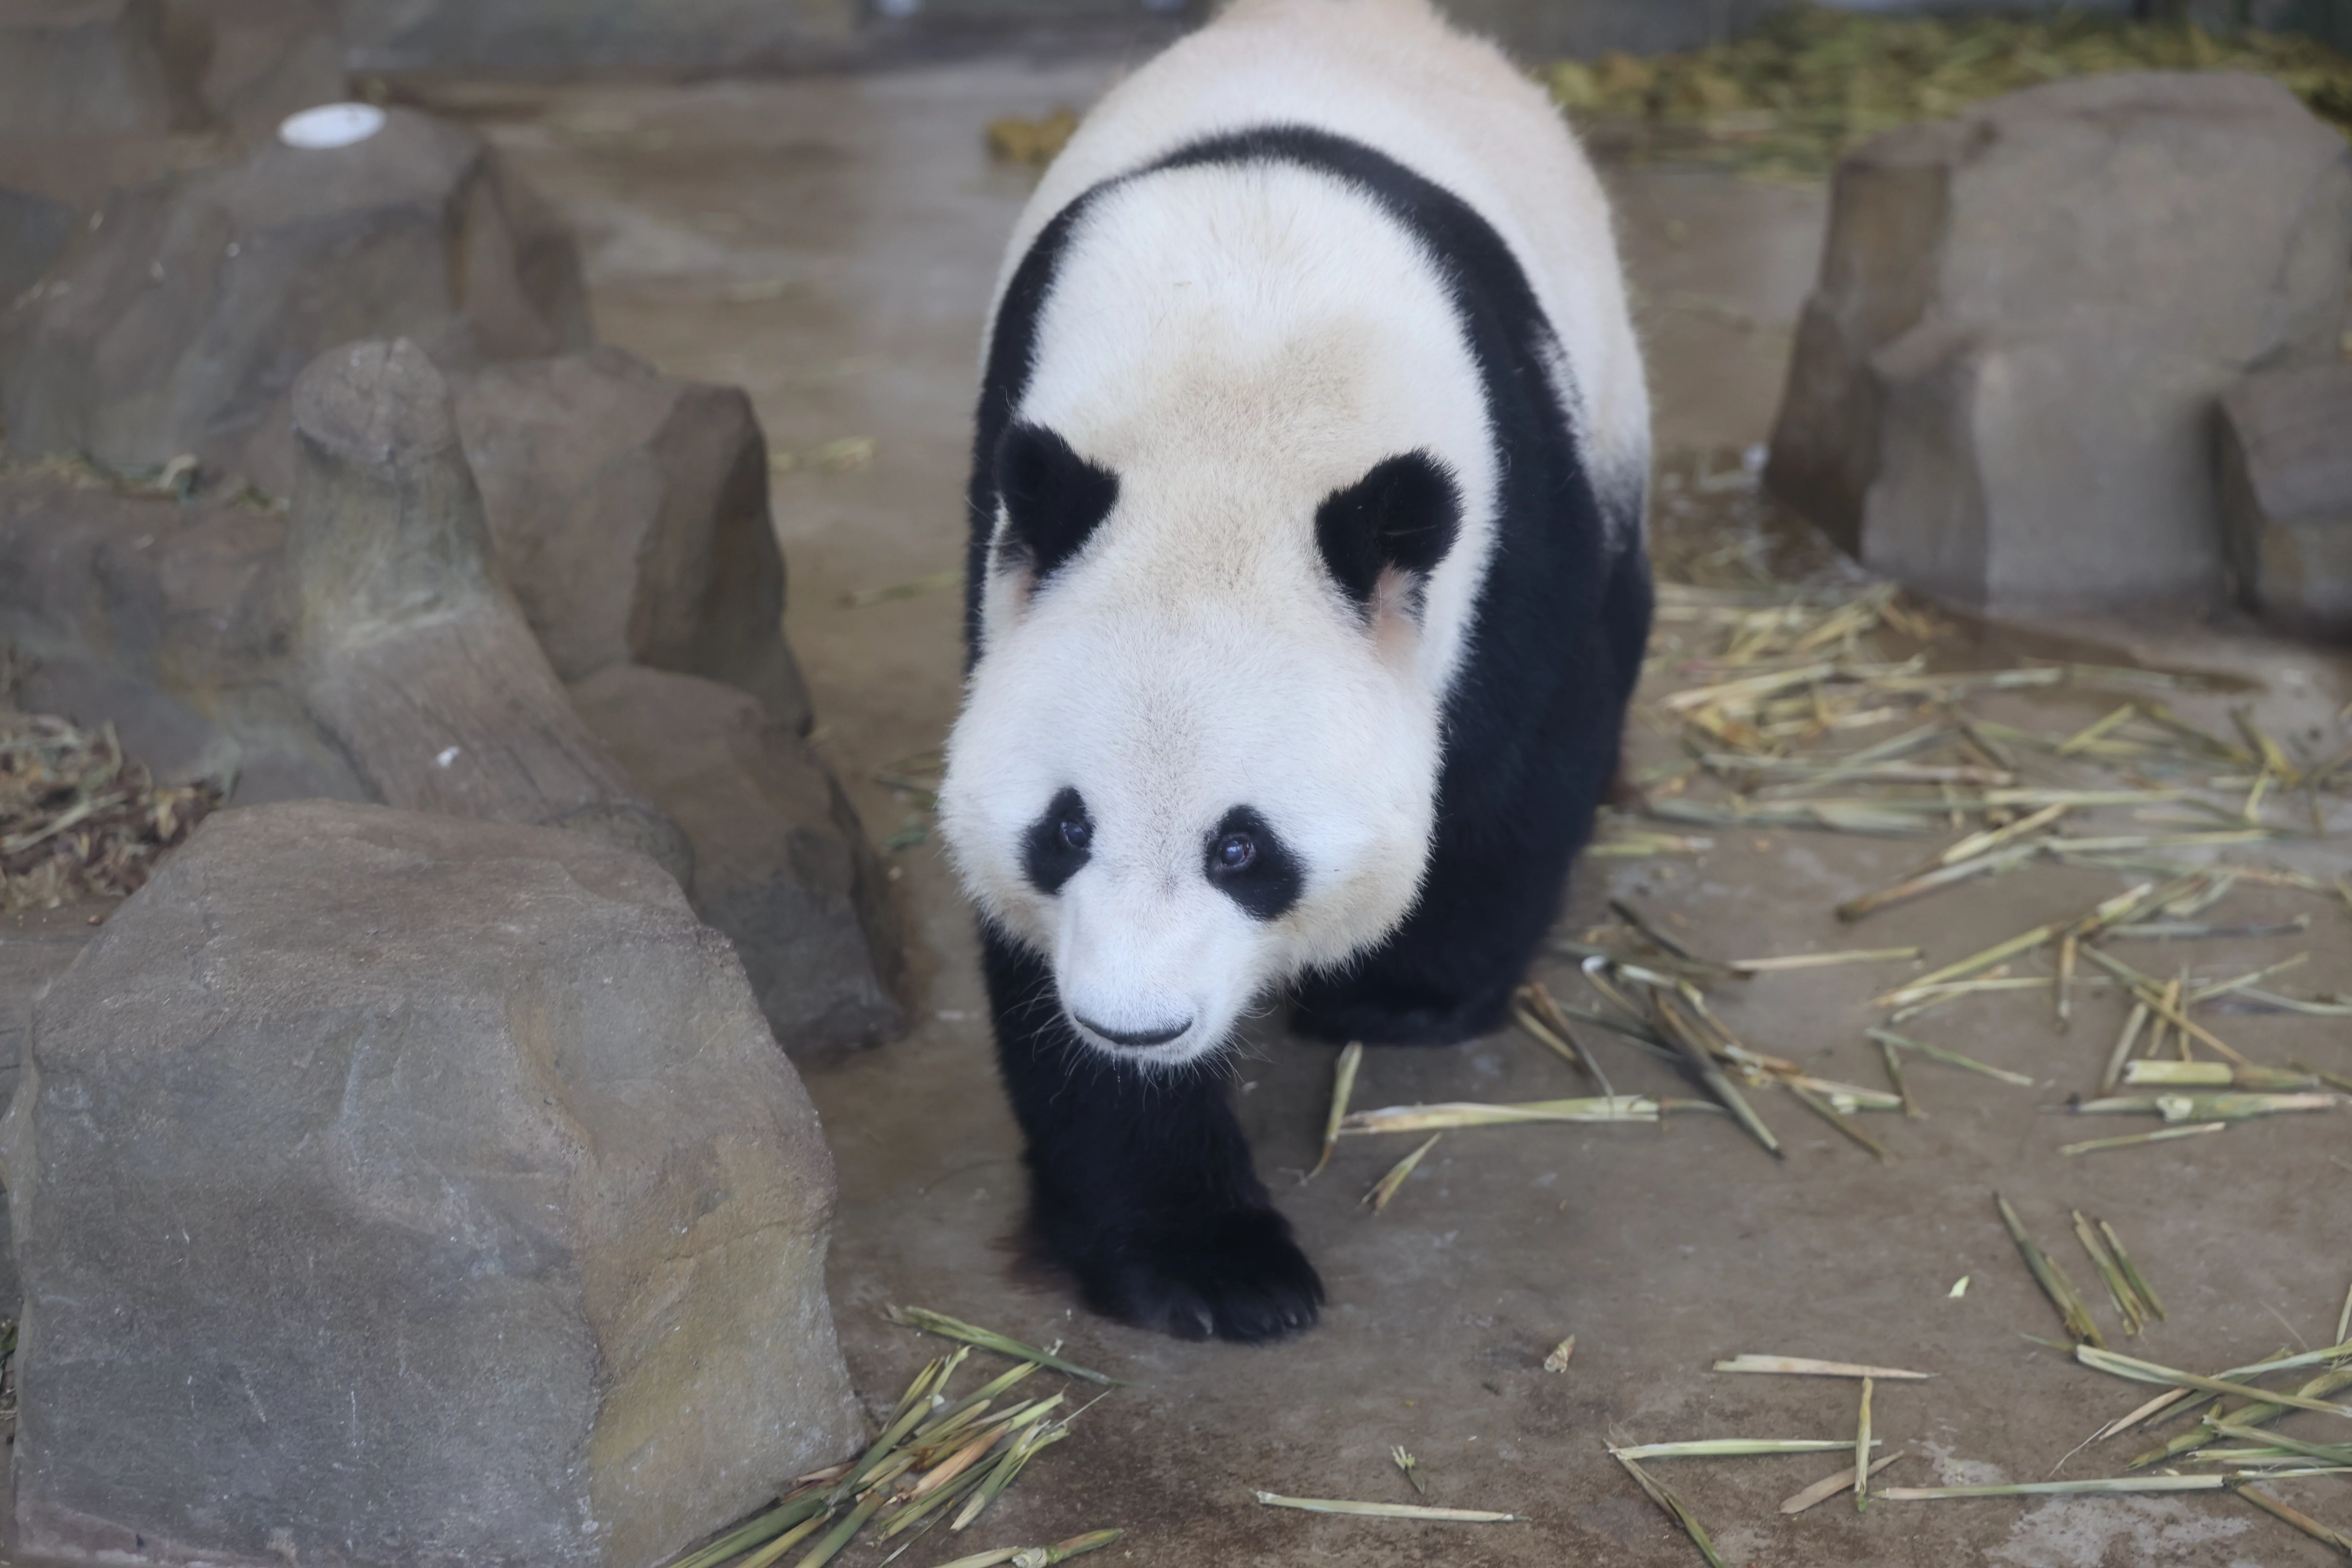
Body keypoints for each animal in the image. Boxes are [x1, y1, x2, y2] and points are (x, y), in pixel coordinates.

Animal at [935, 0, 1651, 1343]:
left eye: (1242, 846)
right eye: (1063, 828)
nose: (1137, 1021)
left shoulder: (1511, 508)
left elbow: (1526, 756)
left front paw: (1406, 995)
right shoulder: (1008, 548)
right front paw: (1209, 1262)